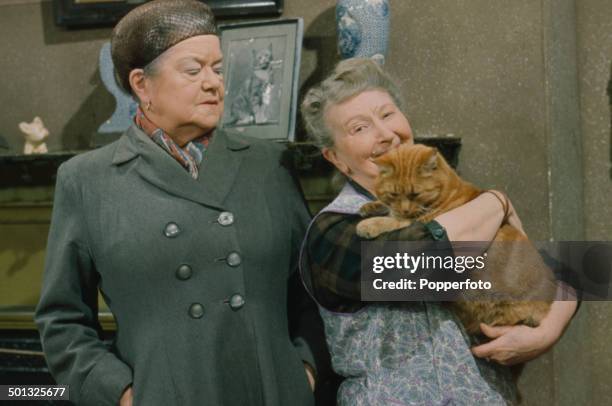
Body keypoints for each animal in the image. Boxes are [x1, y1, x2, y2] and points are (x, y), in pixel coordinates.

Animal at [356, 144, 556, 334]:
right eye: (394, 194)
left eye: (415, 194)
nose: (405, 210)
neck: (447, 191)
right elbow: (388, 209)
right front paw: (371, 206)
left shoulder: (420, 223)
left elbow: (393, 221)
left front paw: (368, 224)